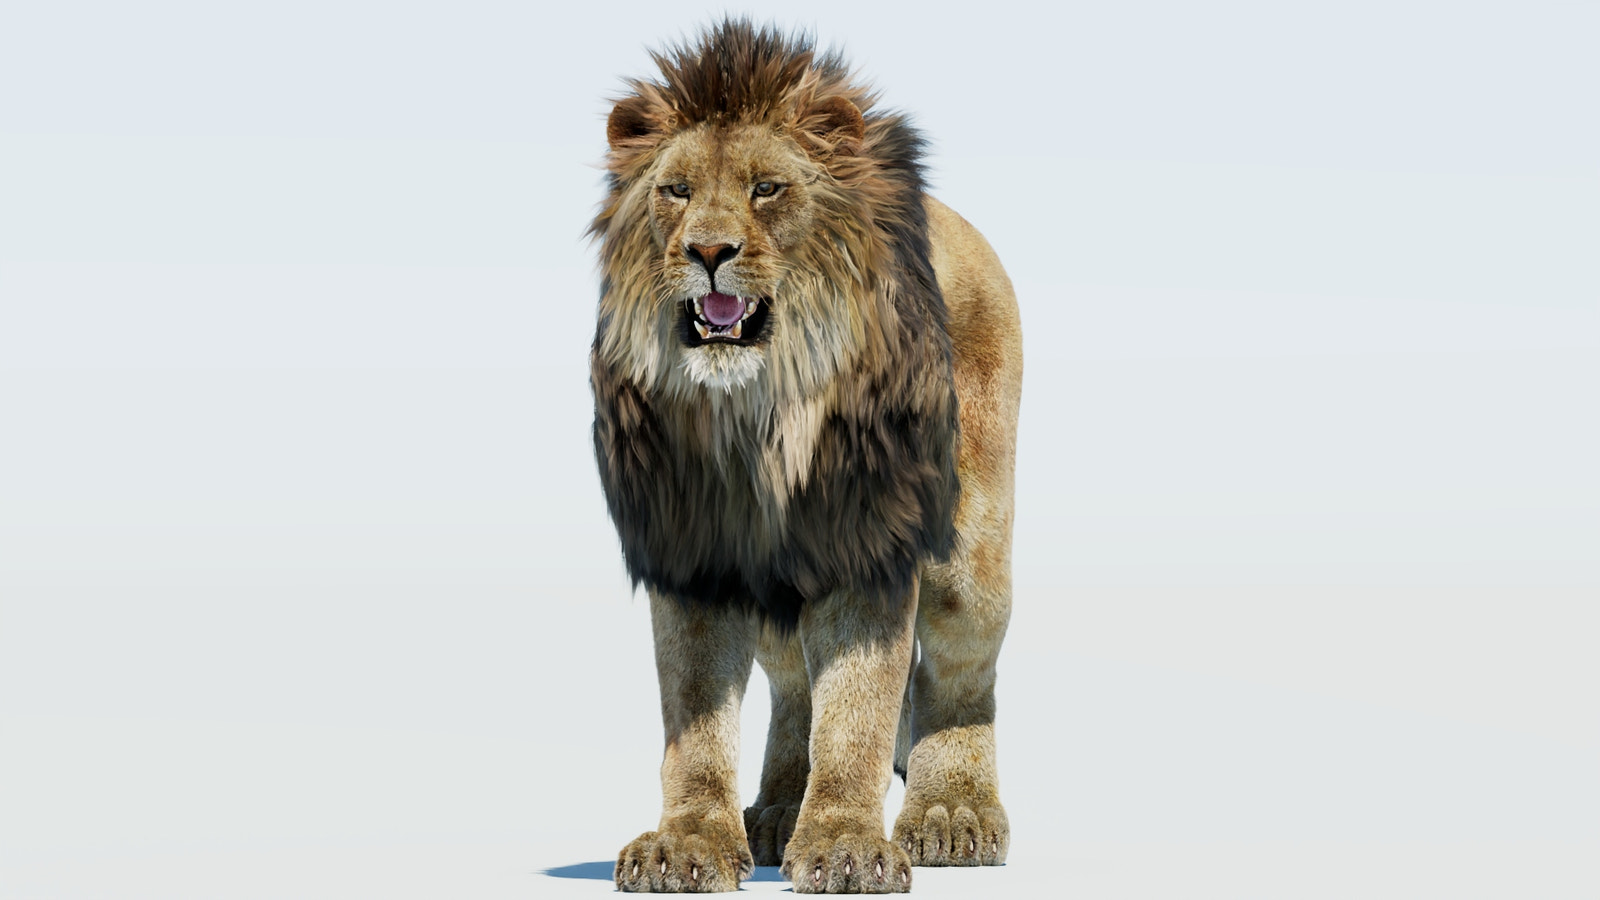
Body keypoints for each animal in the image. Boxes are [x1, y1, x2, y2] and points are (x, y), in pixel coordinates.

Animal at [589, 20, 1022, 894]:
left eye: (767, 189)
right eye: (676, 190)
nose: (708, 250)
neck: (755, 415)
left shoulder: (871, 542)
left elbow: (858, 709)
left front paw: (847, 845)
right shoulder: (690, 551)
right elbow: (695, 716)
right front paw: (687, 843)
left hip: (973, 556)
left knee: (958, 673)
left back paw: (952, 814)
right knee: (793, 683)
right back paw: (779, 813)